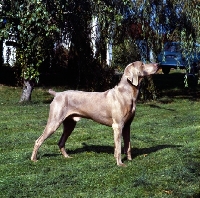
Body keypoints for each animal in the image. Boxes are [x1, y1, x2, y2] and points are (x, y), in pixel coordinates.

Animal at [30, 61, 158, 166]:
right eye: (142, 64)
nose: (158, 64)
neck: (126, 93)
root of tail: (57, 94)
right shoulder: (118, 126)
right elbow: (118, 147)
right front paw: (120, 163)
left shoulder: (127, 126)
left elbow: (128, 145)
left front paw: (130, 160)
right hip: (54, 122)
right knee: (38, 140)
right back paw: (34, 159)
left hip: (70, 124)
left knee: (61, 142)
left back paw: (67, 157)